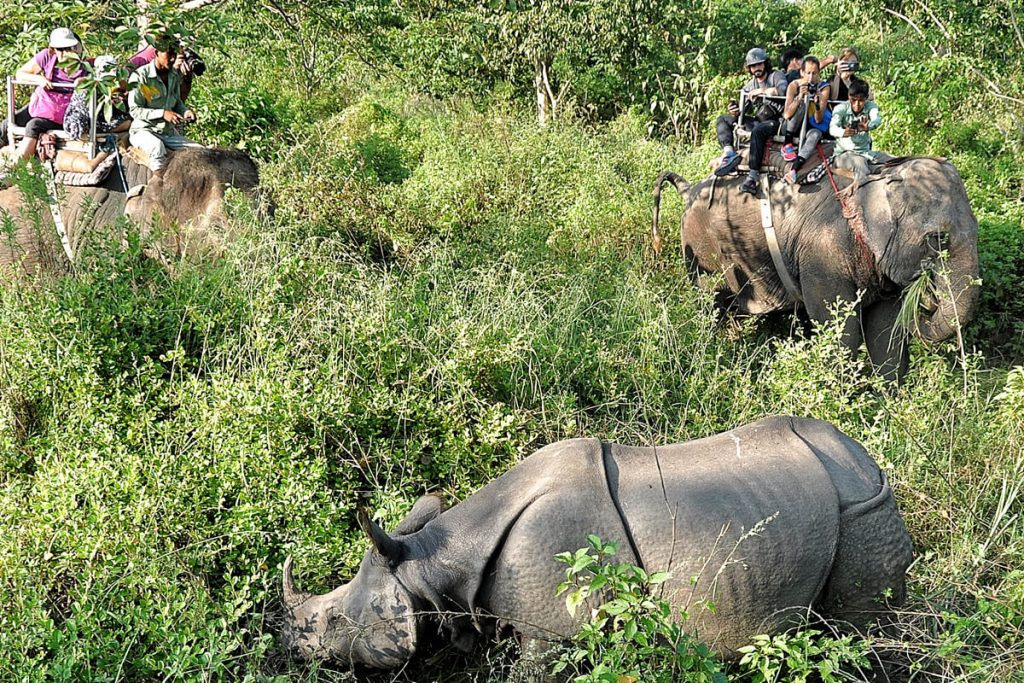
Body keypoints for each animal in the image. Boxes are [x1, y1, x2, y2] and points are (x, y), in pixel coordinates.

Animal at [278, 417, 913, 667]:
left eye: (334, 623)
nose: (291, 645)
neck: (434, 560)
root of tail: (867, 463)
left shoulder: (554, 622)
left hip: (862, 514)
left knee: (860, 634)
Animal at [651, 158, 978, 385]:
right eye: (937, 239)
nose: (927, 302)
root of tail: (688, 190)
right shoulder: (821, 255)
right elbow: (842, 331)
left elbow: (885, 330)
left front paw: (887, 405)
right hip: (700, 249)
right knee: (710, 304)